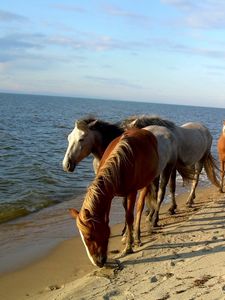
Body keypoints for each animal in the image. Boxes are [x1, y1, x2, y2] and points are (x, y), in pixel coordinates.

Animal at [69, 128, 159, 268]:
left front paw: (128, 247)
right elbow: (111, 219)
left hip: (145, 184)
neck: (120, 164)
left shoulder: (132, 192)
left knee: (139, 208)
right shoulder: (108, 197)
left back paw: (137, 236)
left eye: (90, 236)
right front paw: (127, 238)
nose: (98, 262)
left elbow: (129, 217)